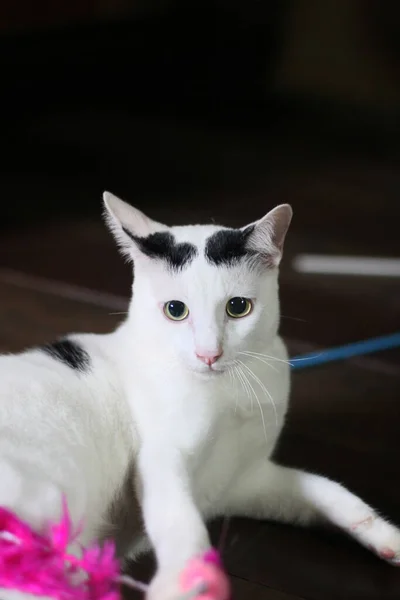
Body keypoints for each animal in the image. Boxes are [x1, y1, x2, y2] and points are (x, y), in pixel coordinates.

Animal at [0, 193, 400, 600]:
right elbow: (180, 518)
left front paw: (386, 537)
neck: (229, 395)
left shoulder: (246, 483)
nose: (209, 354)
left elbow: (324, 490)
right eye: (175, 310)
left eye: (238, 307)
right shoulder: (161, 457)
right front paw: (186, 578)